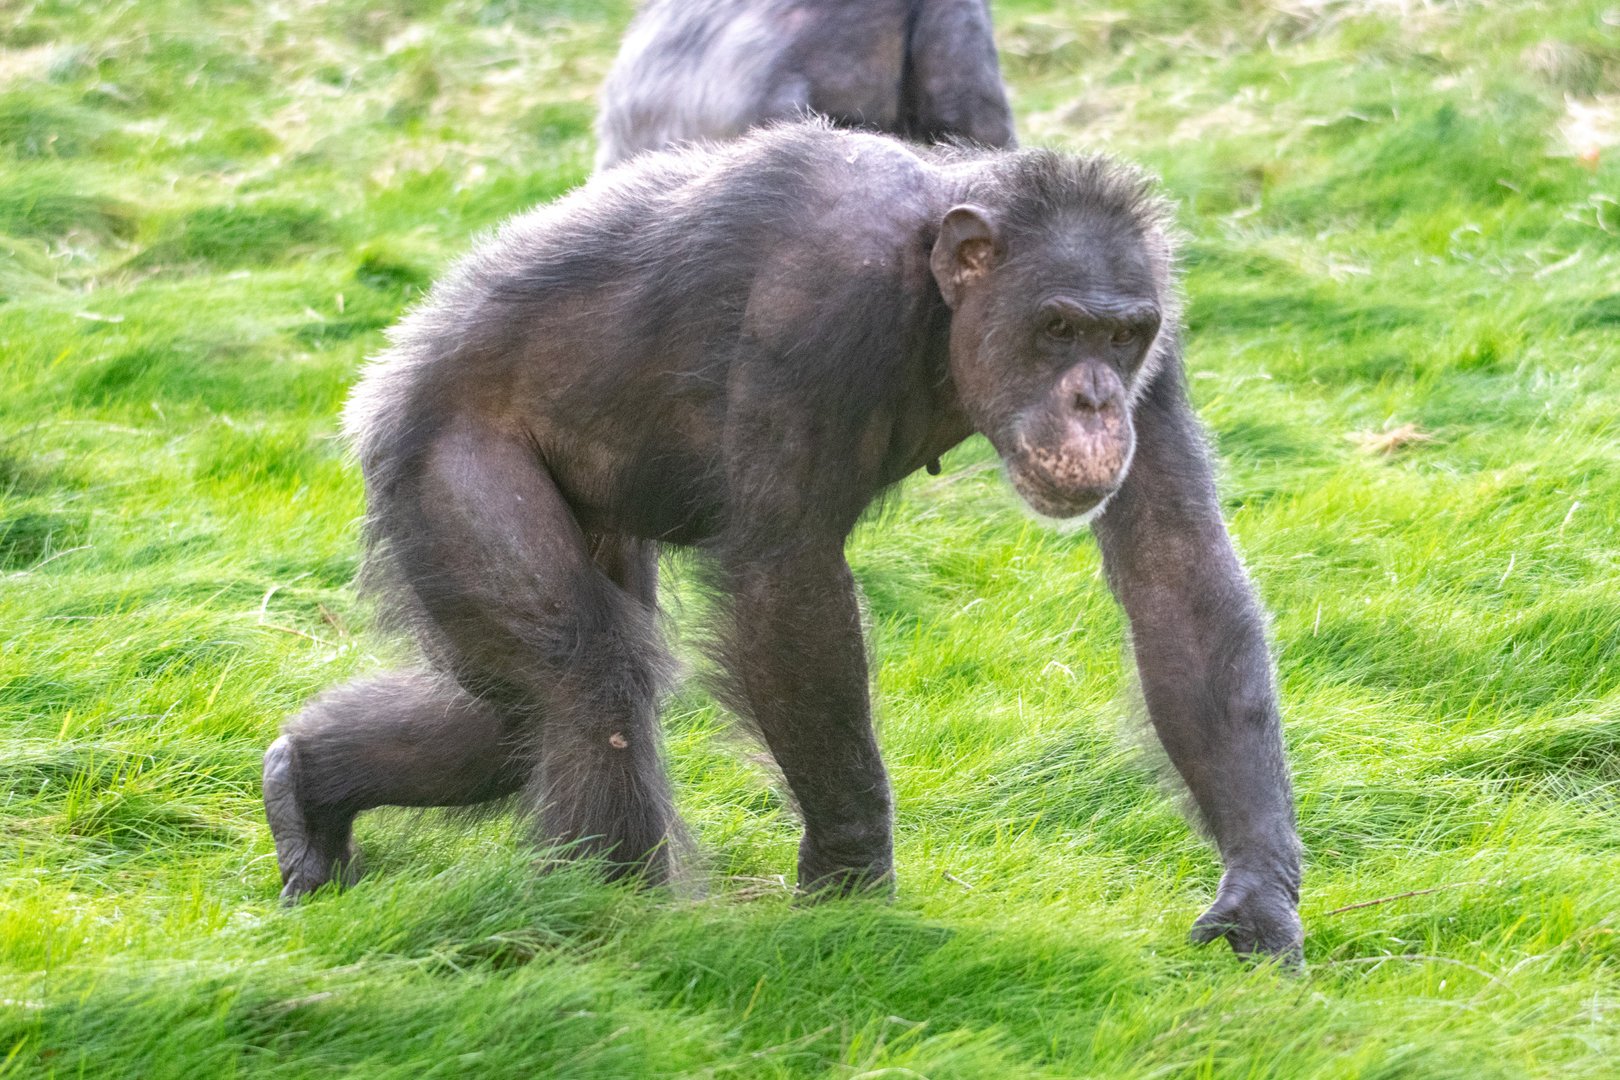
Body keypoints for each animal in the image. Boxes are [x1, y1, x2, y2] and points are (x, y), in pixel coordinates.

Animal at [262, 121, 1304, 961]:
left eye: (1121, 337)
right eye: (1058, 327)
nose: (1094, 397)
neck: (936, 296)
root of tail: (391, 366)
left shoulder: (1164, 349)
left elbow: (1176, 568)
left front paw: (1259, 897)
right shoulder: (817, 310)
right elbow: (788, 577)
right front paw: (851, 884)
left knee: (515, 717)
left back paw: (309, 783)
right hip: (442, 461)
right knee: (582, 675)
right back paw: (609, 921)